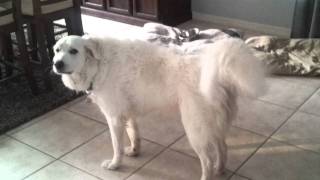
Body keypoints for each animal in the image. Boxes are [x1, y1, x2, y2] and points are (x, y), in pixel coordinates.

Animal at [52, 34, 264, 180]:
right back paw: (220, 170)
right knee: (223, 149)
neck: (99, 64)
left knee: (208, 160)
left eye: (73, 51)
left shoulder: (114, 118)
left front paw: (115, 164)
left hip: (195, 129)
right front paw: (134, 152)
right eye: (56, 50)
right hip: (213, 126)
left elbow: (116, 146)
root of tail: (216, 71)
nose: (57, 64)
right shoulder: (128, 114)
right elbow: (134, 135)